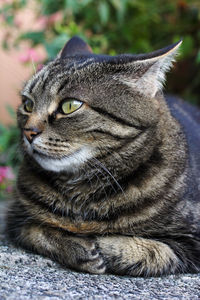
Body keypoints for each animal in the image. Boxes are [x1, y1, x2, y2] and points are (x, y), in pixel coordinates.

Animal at [5, 35, 199, 276]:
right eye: (28, 104)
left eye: (70, 106)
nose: (28, 132)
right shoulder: (16, 219)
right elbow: (39, 231)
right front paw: (77, 246)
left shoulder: (192, 239)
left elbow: (152, 249)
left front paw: (101, 245)